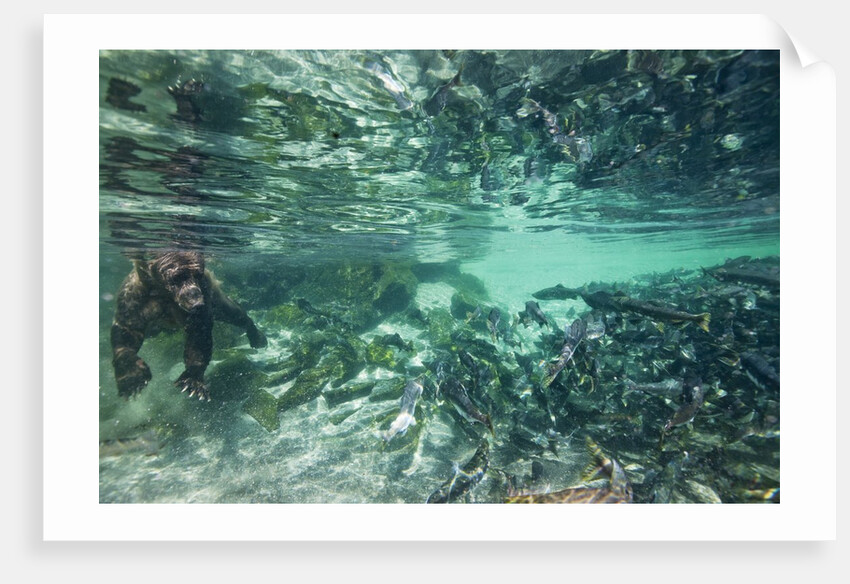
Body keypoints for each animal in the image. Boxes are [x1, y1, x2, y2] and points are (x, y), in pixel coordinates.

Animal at [110, 251, 267, 401]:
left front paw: (192, 383)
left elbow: (199, 332)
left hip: (215, 296)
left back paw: (258, 337)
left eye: (198, 274)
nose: (197, 303)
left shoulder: (204, 292)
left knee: (233, 312)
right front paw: (132, 380)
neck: (164, 295)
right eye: (178, 276)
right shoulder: (135, 296)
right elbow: (127, 329)